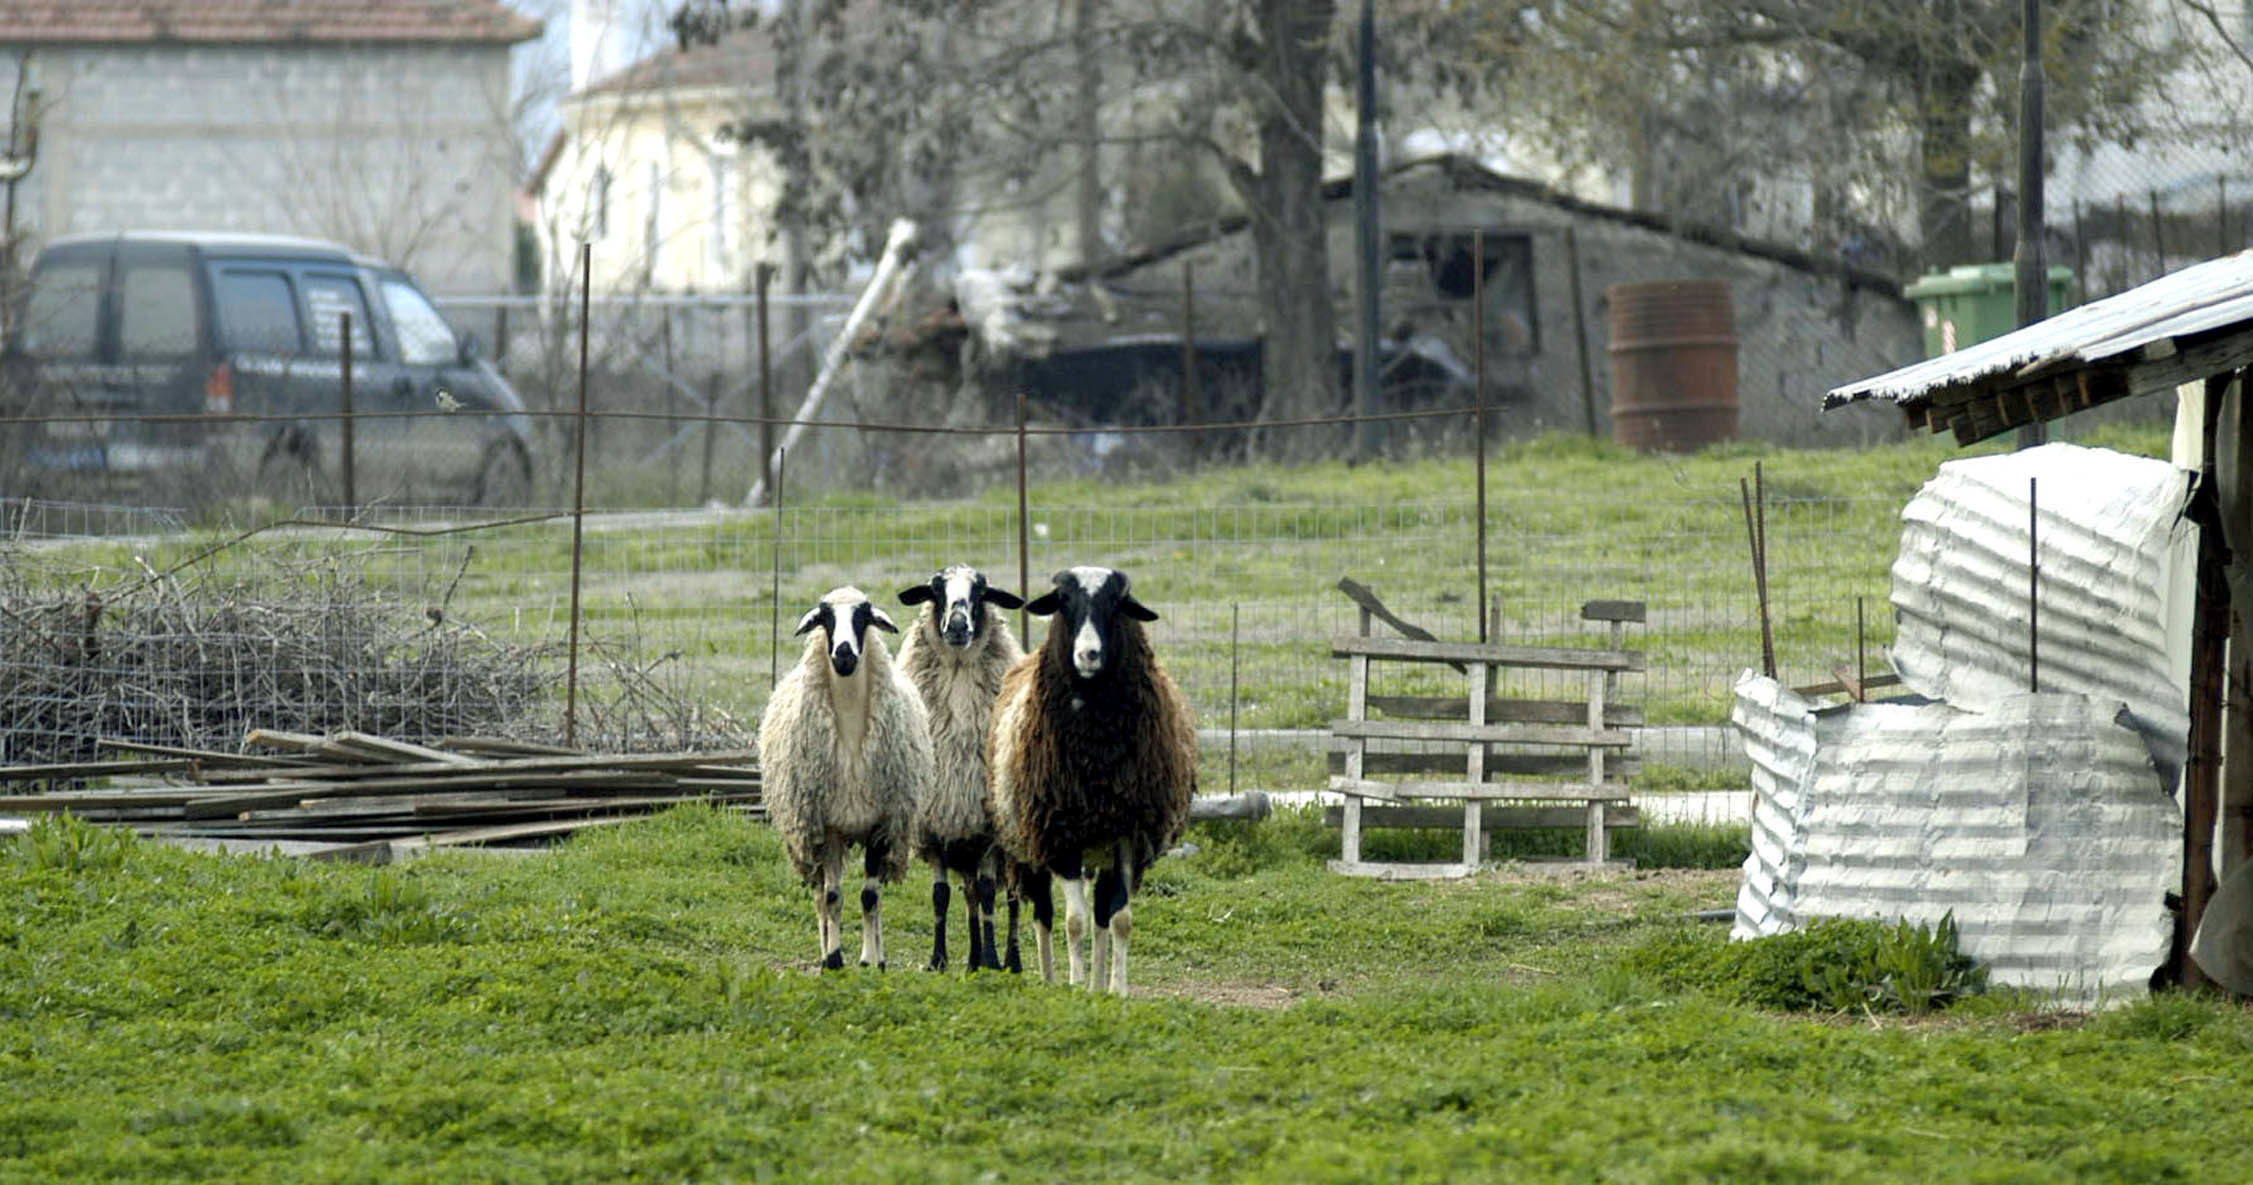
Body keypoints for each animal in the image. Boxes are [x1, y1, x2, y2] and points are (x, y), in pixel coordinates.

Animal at [757, 585, 932, 977]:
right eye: (825, 618)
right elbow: (833, 897)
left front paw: (872, 959)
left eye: (864, 616)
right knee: (820, 894)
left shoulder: (880, 826)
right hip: (807, 835)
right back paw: (825, 949)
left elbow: (870, 897)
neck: (852, 734)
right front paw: (835, 958)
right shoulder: (827, 826)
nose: (844, 654)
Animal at [892, 567, 1027, 977]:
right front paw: (938, 959)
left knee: (1010, 898)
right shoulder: (937, 828)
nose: (956, 625)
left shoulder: (987, 832)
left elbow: (989, 897)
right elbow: (941, 896)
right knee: (968, 896)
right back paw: (971, 959)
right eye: (936, 589)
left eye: (981, 591)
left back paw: (1010, 961)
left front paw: (993, 959)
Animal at [986, 567, 1198, 995]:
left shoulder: (1128, 836)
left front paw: (1116, 990)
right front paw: (1073, 985)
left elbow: (1119, 920)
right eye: (1063, 601)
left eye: (1116, 604)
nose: (1089, 655)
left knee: (1101, 913)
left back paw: (1098, 984)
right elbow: (1073, 922)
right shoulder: (1061, 834)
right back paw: (1052, 979)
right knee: (1044, 913)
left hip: (1098, 849)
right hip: (1027, 843)